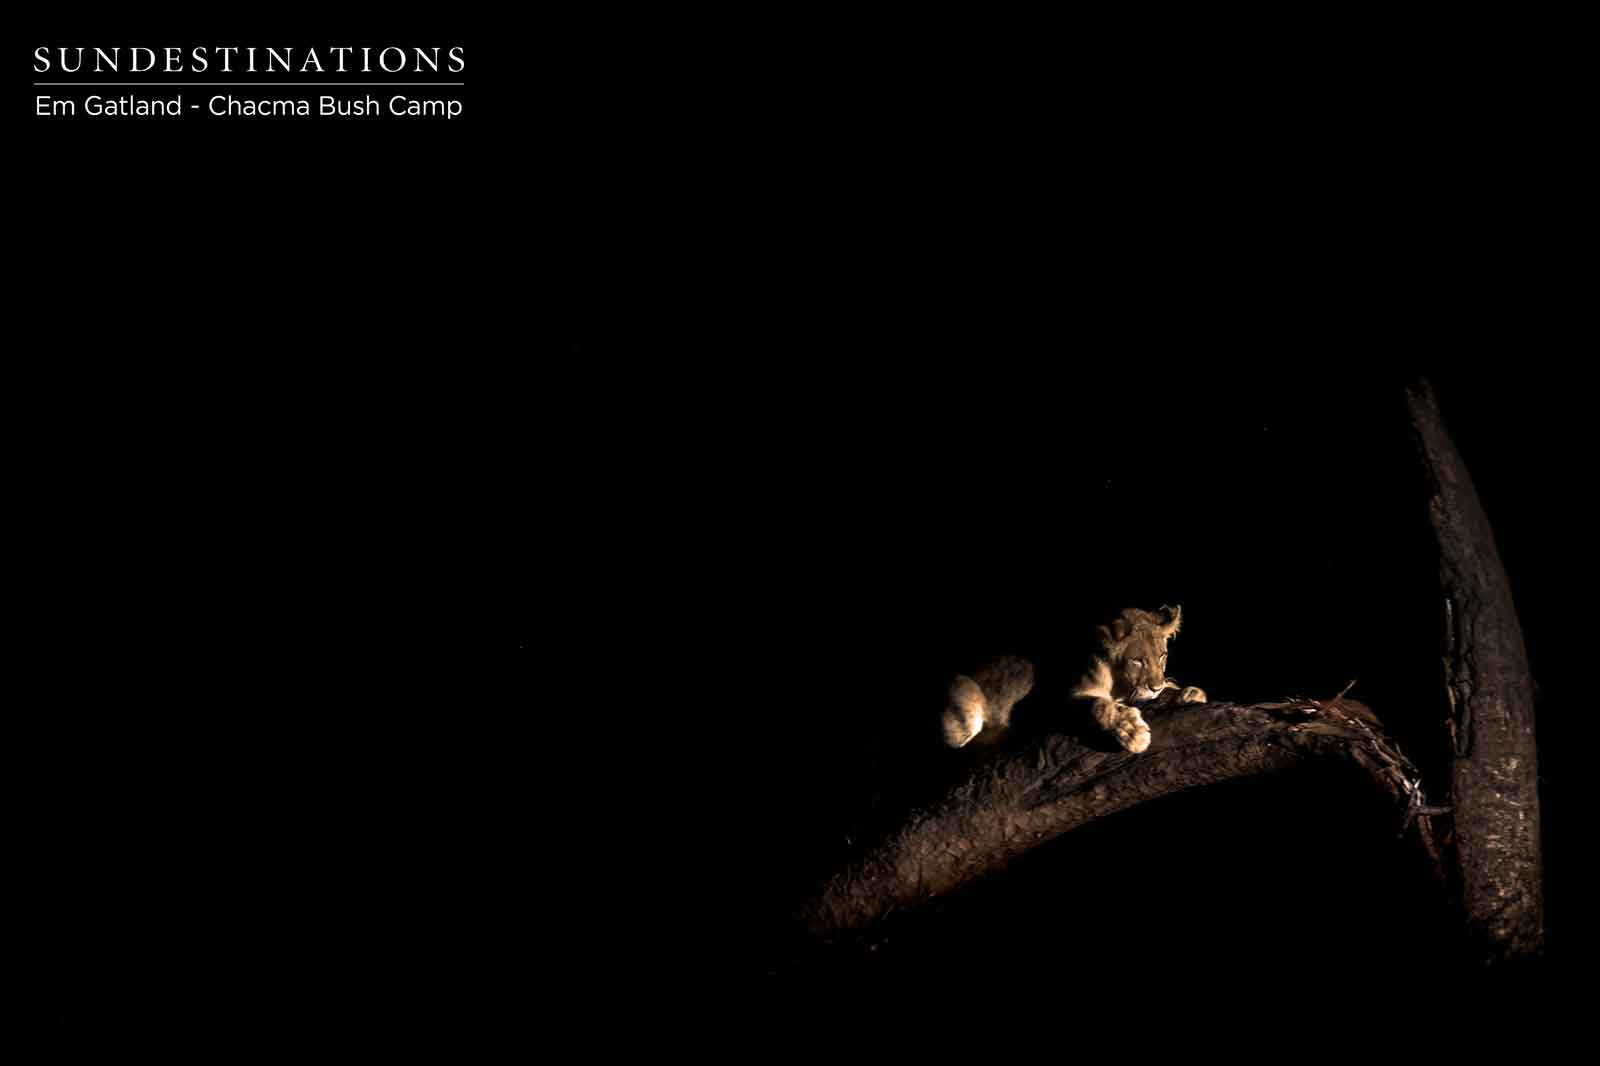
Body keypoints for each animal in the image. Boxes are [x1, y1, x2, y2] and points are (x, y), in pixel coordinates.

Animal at [940, 605, 1206, 753]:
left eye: (1162, 656)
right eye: (1137, 661)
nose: (1155, 686)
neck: (1120, 682)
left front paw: (1187, 693)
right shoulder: (1055, 702)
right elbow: (1099, 705)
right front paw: (1131, 731)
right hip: (963, 690)